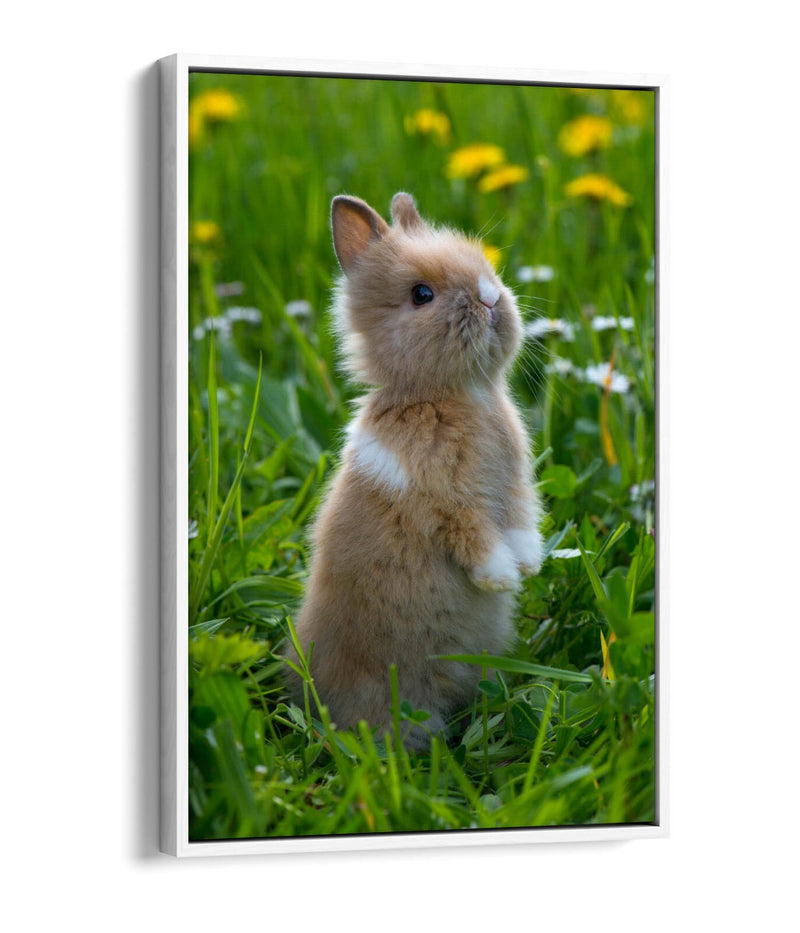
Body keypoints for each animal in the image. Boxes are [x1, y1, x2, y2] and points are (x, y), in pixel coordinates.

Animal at [285, 192, 543, 750]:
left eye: (486, 265)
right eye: (421, 295)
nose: (490, 297)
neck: (455, 393)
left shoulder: (514, 487)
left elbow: (519, 521)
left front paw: (530, 566)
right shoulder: (442, 498)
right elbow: (475, 534)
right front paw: (500, 579)